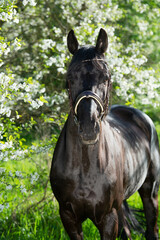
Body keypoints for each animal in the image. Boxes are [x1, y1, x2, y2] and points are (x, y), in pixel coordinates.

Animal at [49, 29, 159, 239]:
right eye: (69, 78)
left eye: (106, 77)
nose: (89, 128)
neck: (85, 167)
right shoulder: (68, 217)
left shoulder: (108, 217)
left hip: (149, 191)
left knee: (151, 225)